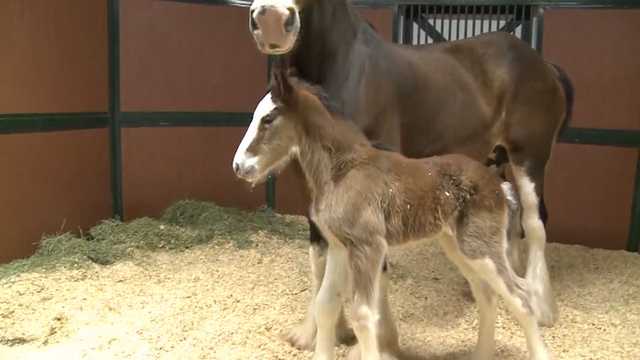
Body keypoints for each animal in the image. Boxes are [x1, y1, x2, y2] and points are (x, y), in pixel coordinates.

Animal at [248, 0, 572, 352]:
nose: (270, 20)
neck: (346, 69)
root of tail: (545, 64)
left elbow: (377, 274)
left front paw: (381, 342)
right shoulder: (315, 192)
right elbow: (320, 259)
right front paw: (316, 332)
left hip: (529, 159)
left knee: (534, 225)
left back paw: (542, 307)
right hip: (494, 164)